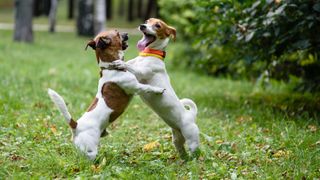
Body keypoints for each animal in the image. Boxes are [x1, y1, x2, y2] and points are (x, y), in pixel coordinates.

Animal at [47, 29, 165, 160]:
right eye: (117, 33)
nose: (127, 33)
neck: (110, 68)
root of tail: (76, 126)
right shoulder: (136, 87)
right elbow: (147, 87)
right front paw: (158, 89)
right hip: (90, 150)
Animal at [110, 18, 200, 159]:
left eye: (157, 25)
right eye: (147, 21)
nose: (142, 26)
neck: (148, 55)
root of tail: (190, 114)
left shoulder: (141, 73)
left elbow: (131, 68)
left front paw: (120, 63)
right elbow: (130, 64)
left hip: (192, 139)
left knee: (195, 152)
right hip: (177, 139)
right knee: (182, 150)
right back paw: (183, 160)